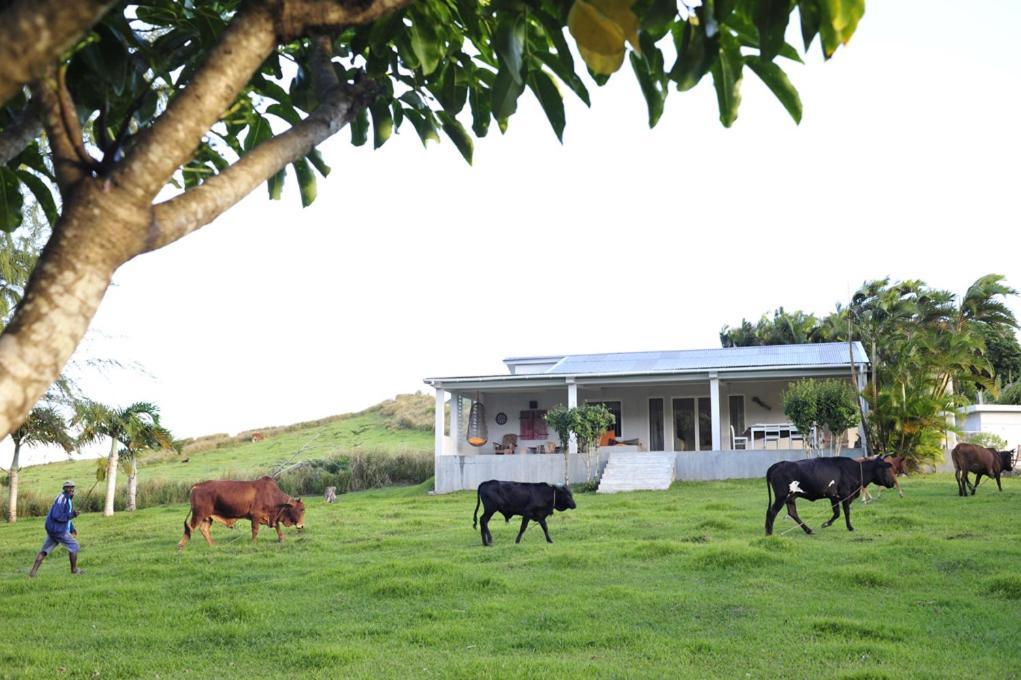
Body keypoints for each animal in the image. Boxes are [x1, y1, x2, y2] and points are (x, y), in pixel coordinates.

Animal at [763, 455, 898, 535]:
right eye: (887, 469)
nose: (892, 483)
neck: (853, 470)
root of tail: (778, 464)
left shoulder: (834, 497)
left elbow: (837, 513)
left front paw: (826, 524)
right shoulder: (845, 494)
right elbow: (846, 512)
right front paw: (850, 527)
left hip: (791, 497)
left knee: (792, 512)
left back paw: (808, 530)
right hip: (781, 496)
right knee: (772, 512)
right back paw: (769, 533)